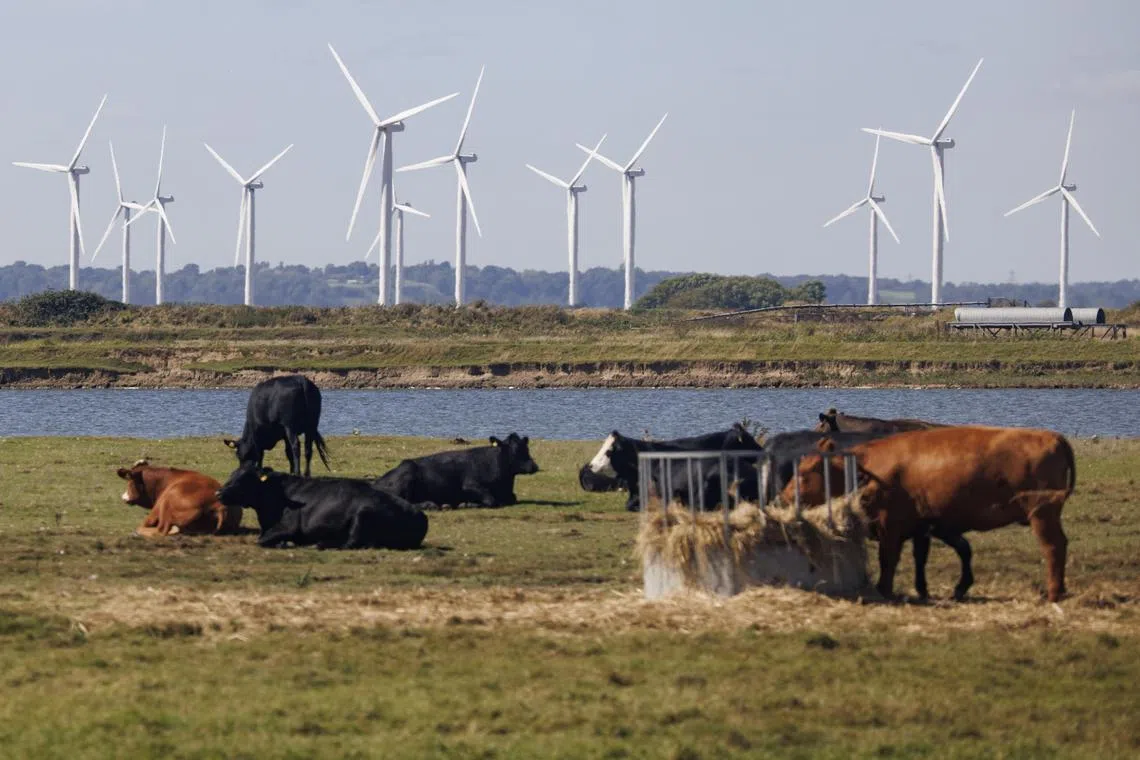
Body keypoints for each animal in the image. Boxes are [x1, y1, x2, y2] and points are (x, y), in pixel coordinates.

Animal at [216, 463, 428, 549]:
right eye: (232, 474)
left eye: (244, 479)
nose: (218, 493)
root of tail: (417, 513)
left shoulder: (288, 527)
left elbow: (262, 540)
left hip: (363, 515)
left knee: (351, 543)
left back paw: (319, 544)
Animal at [372, 433, 539, 509]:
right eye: (515, 451)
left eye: (527, 448)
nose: (534, 466)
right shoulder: (470, 485)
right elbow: (490, 500)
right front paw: (468, 504)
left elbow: (512, 498)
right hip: (407, 475)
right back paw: (432, 505)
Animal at [783, 426, 1076, 602]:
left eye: (804, 473)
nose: (784, 497)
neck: (865, 470)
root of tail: (1053, 437)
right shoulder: (924, 527)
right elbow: (924, 557)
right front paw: (926, 589)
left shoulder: (891, 527)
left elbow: (888, 559)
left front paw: (883, 589)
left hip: (1042, 515)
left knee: (1053, 547)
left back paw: (1053, 593)